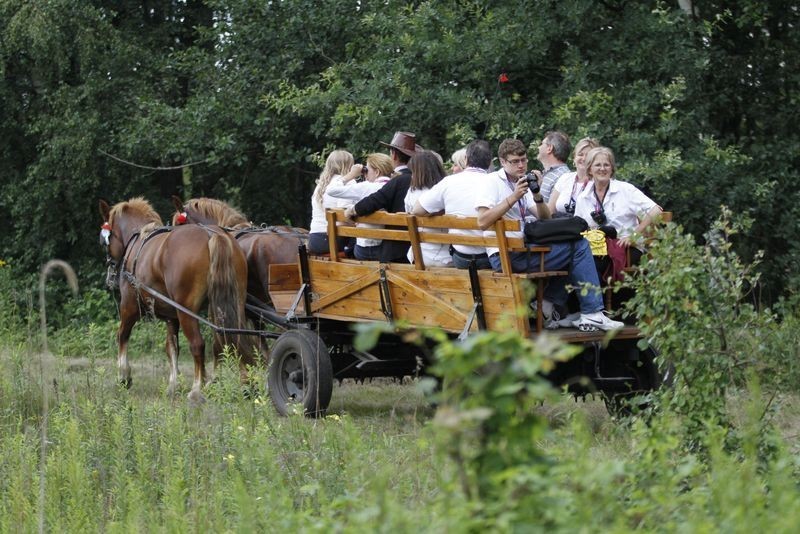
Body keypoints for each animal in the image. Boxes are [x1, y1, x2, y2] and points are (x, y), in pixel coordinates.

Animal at [99, 199, 256, 404]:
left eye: (105, 240)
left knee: (198, 344)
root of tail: (214, 234)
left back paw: (196, 391)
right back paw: (244, 384)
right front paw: (174, 384)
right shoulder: (171, 316)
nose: (110, 272)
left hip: (185, 310)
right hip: (229, 303)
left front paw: (124, 376)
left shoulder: (130, 307)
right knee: (233, 336)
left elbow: (122, 335)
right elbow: (172, 346)